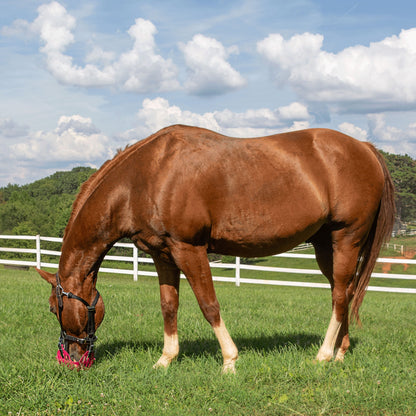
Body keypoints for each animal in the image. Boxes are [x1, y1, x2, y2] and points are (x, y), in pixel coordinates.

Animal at [38, 125, 394, 372]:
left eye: (55, 308)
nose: (71, 359)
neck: (147, 175)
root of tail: (364, 148)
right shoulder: (162, 255)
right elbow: (169, 306)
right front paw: (165, 360)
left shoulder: (189, 249)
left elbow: (209, 305)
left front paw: (229, 361)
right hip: (324, 245)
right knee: (344, 292)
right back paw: (340, 353)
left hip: (346, 238)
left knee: (340, 296)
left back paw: (322, 356)